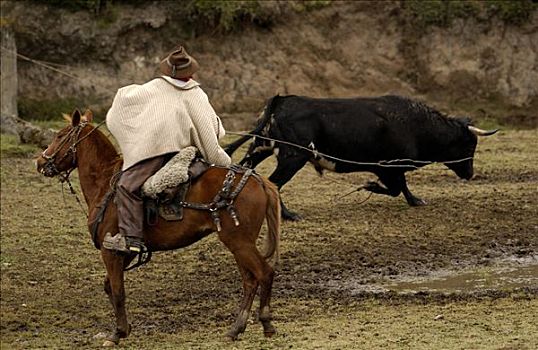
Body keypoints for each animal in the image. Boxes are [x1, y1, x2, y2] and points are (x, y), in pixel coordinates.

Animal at [36, 110, 280, 346]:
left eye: (59, 136)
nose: (40, 162)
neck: (104, 184)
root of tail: (259, 181)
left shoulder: (110, 251)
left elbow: (117, 291)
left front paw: (117, 333)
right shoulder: (126, 251)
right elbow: (109, 286)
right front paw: (126, 328)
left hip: (239, 242)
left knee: (264, 273)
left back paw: (266, 322)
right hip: (239, 244)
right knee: (250, 280)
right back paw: (236, 329)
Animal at [224, 94, 496, 220]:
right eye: (470, 145)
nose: (470, 174)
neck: (417, 125)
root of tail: (282, 100)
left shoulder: (392, 168)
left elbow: (403, 188)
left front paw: (415, 200)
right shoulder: (388, 167)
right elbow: (395, 188)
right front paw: (369, 186)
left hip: (260, 148)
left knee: (244, 170)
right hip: (292, 158)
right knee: (274, 183)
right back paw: (289, 215)